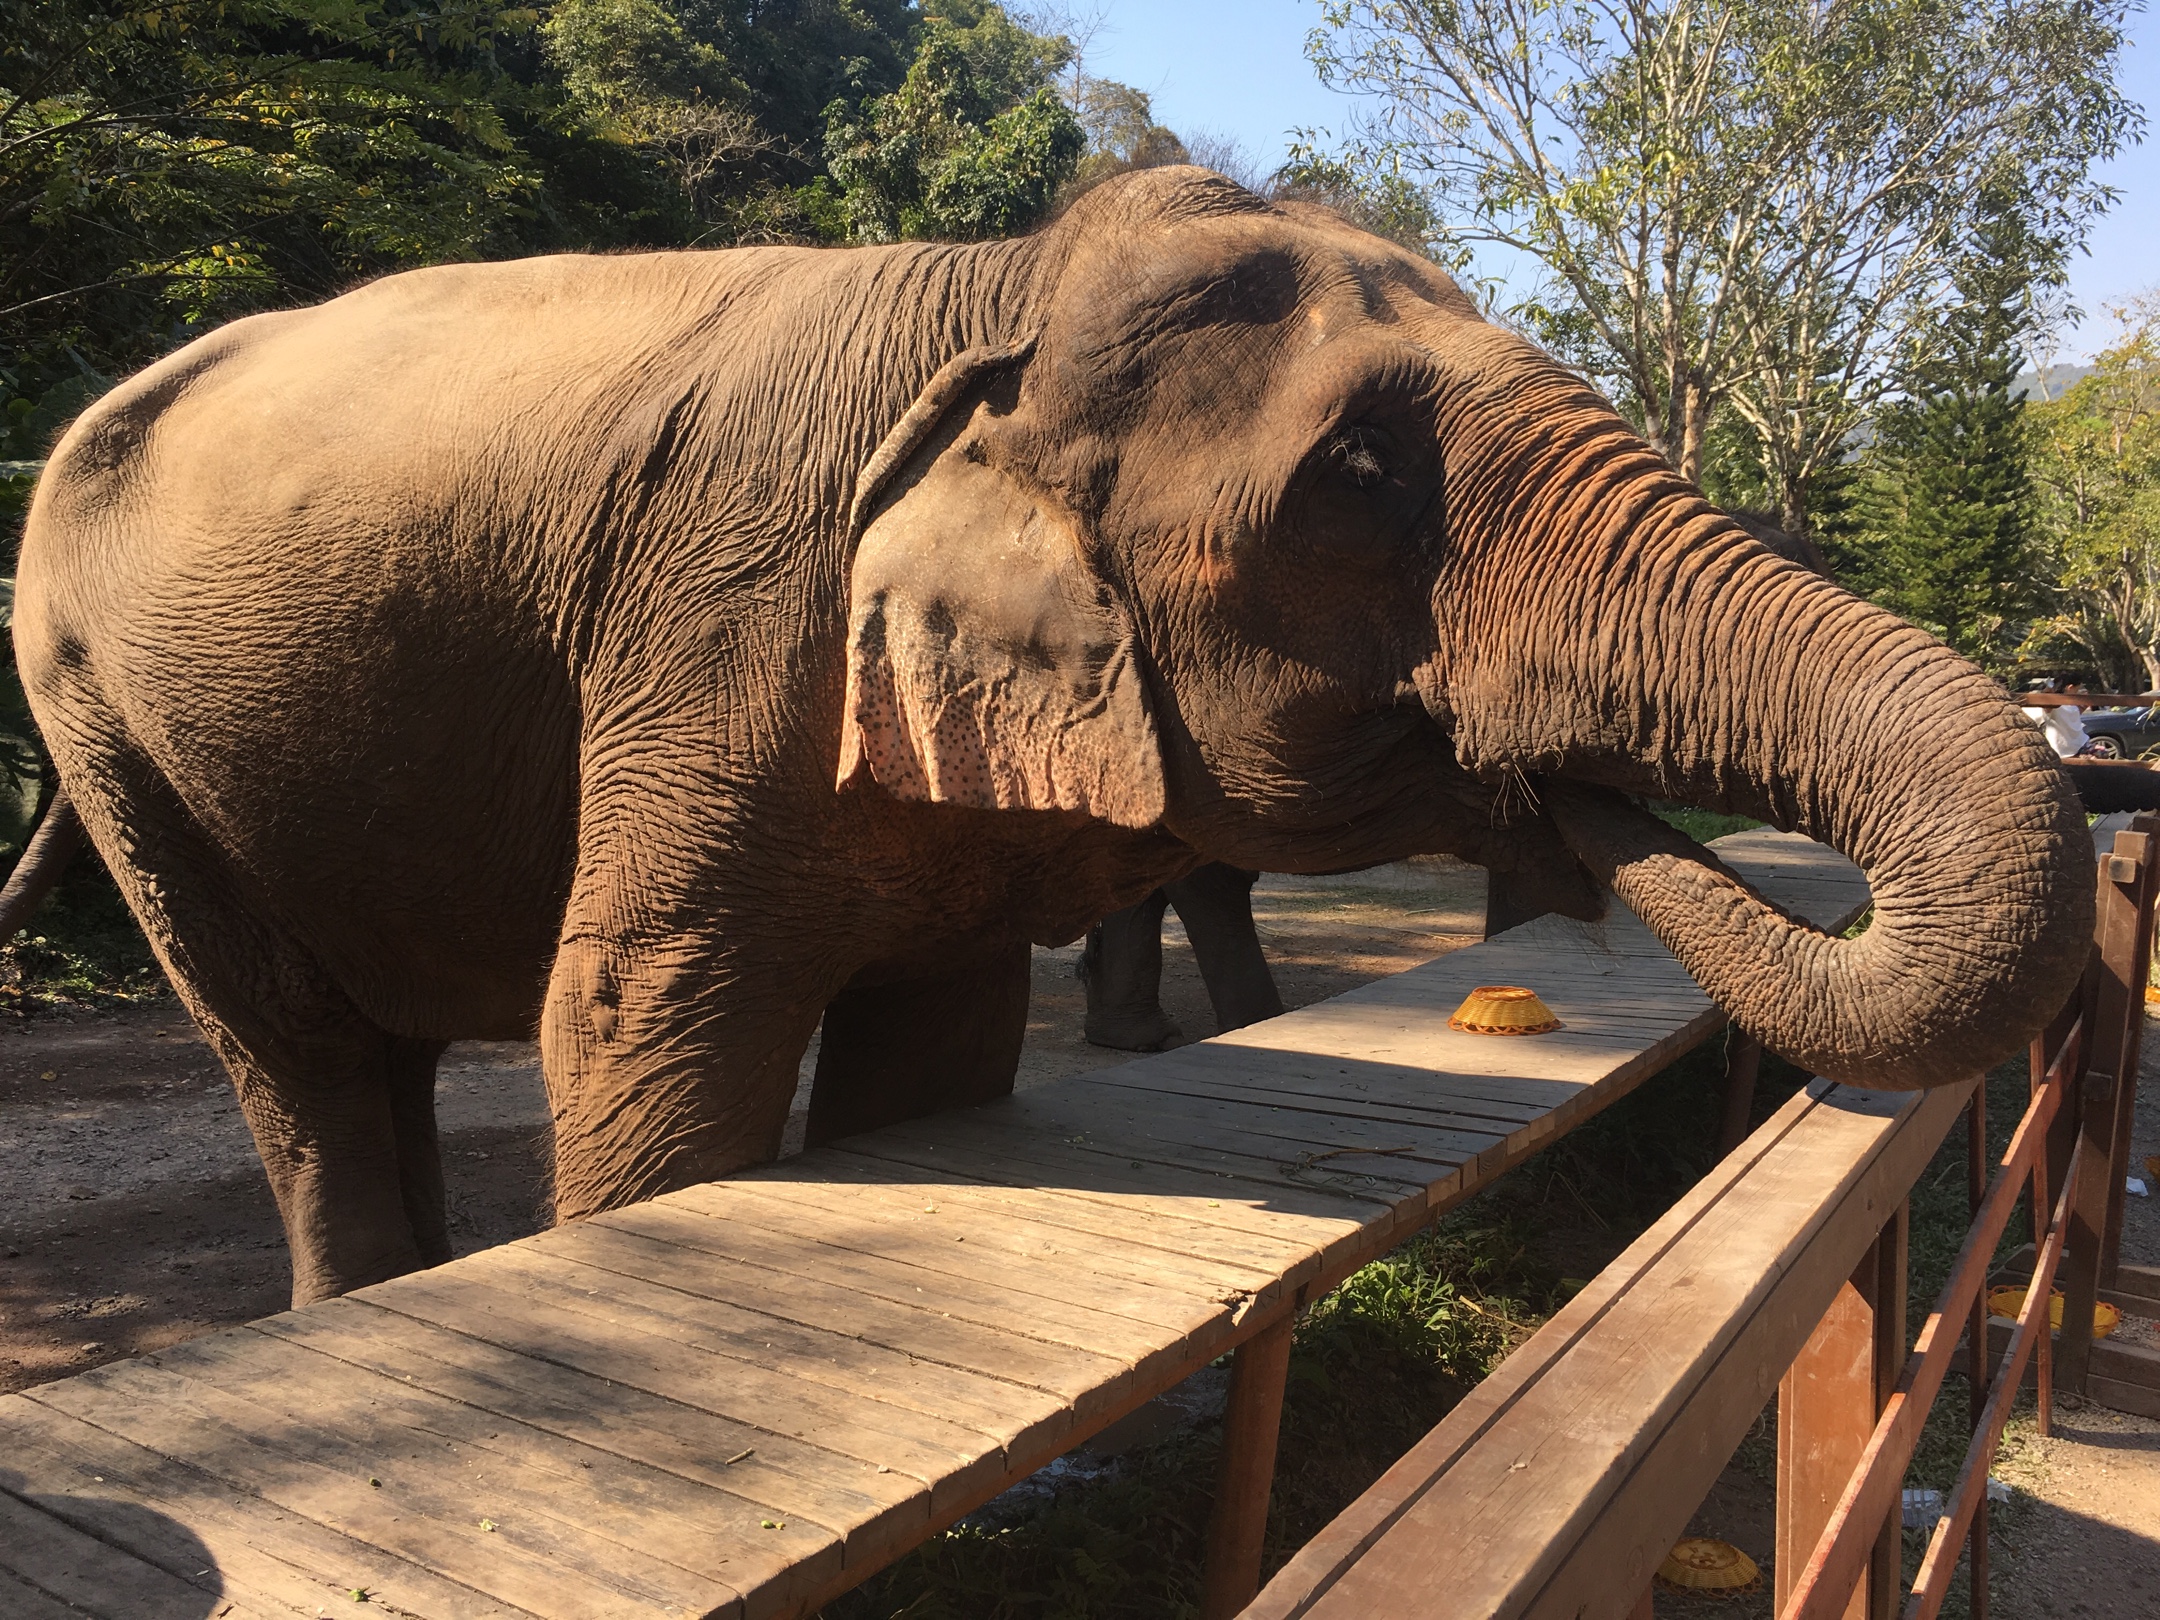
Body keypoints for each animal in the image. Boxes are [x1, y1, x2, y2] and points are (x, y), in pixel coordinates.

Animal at [12, 168, 2090, 1304]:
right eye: (1357, 476)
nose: (1580, 811)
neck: (998, 294)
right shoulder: (723, 618)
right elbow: (636, 1012)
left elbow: (938, 1040)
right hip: (95, 708)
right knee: (295, 1052)